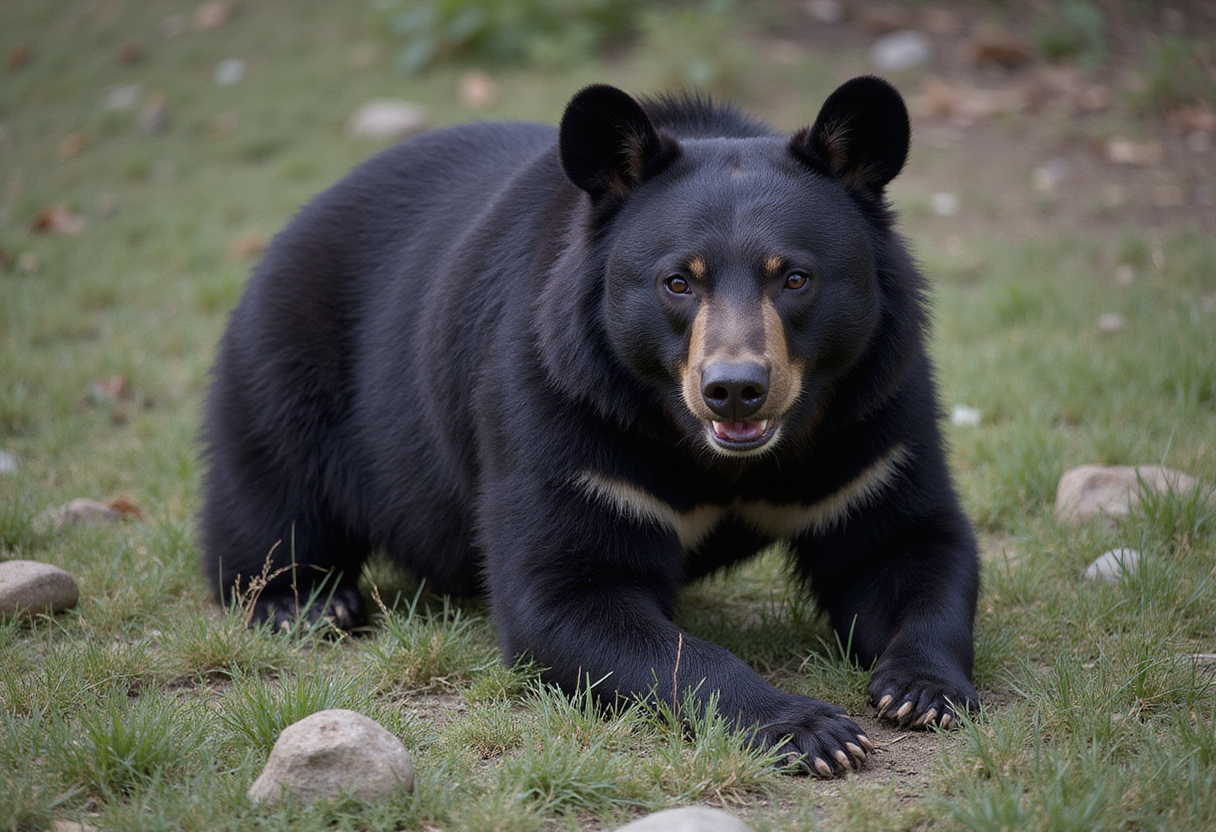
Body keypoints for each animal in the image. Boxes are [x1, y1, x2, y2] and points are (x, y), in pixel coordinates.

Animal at [201, 76, 980, 777]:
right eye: (678, 282)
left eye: (794, 278)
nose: (734, 391)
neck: (713, 447)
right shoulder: (564, 416)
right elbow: (569, 595)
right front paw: (812, 728)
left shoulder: (874, 416)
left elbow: (910, 545)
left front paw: (920, 690)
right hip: (285, 360)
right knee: (272, 493)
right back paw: (308, 602)